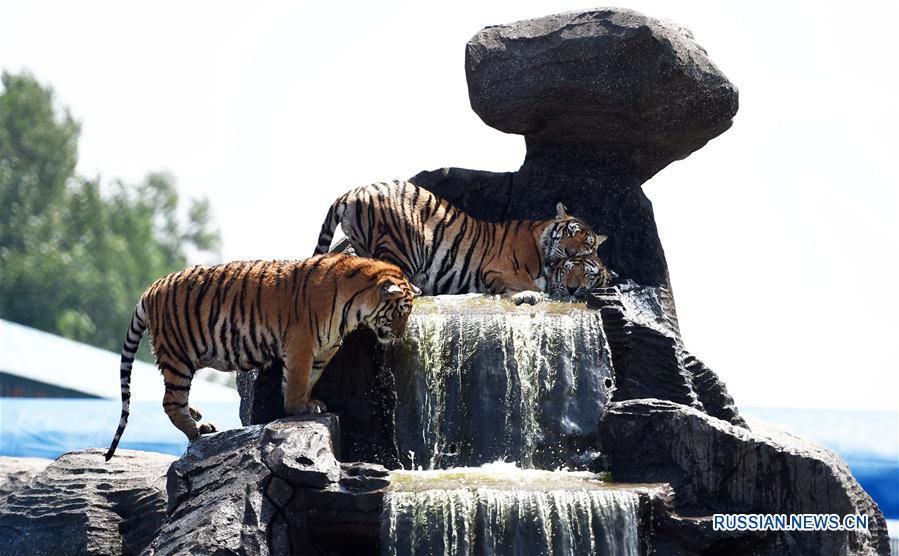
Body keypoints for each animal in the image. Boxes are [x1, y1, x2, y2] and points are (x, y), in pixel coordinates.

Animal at [103, 253, 420, 460]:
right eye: (401, 311)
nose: (400, 334)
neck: (354, 309)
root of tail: (151, 288)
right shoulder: (301, 340)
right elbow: (298, 377)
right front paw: (298, 407)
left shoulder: (324, 348)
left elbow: (307, 378)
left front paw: (308, 402)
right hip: (178, 355)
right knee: (170, 401)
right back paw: (196, 431)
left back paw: (198, 418)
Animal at [314, 180, 604, 304]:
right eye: (569, 233)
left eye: (587, 244)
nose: (570, 252)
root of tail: (353, 192)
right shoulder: (501, 267)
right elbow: (527, 284)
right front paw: (531, 293)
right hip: (401, 243)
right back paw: (415, 289)